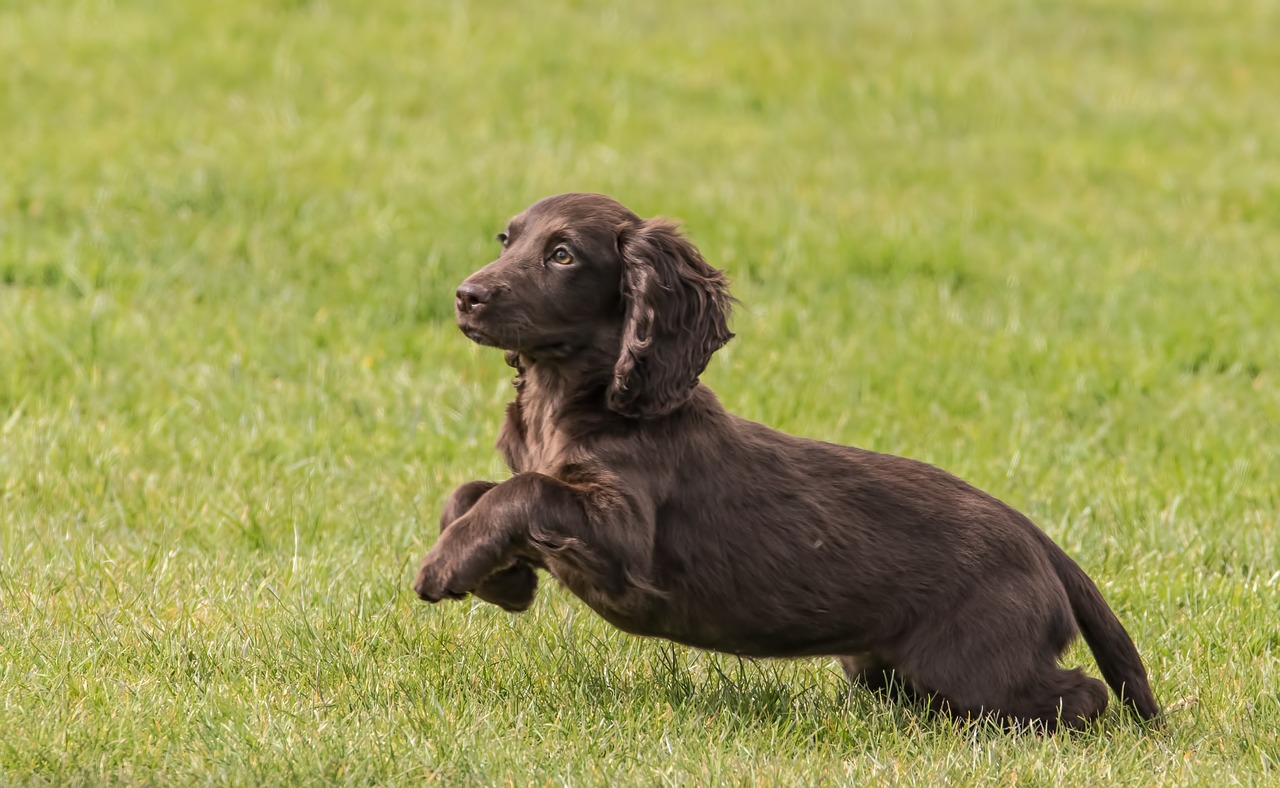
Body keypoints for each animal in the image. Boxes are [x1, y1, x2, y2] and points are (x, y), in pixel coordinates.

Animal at [412, 191, 1162, 731]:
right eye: (507, 241)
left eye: (563, 255)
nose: (465, 296)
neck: (576, 397)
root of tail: (1039, 539)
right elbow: (471, 490)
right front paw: (503, 579)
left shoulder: (624, 535)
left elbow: (522, 491)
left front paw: (445, 567)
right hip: (885, 664)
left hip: (973, 664)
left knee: (1079, 697)